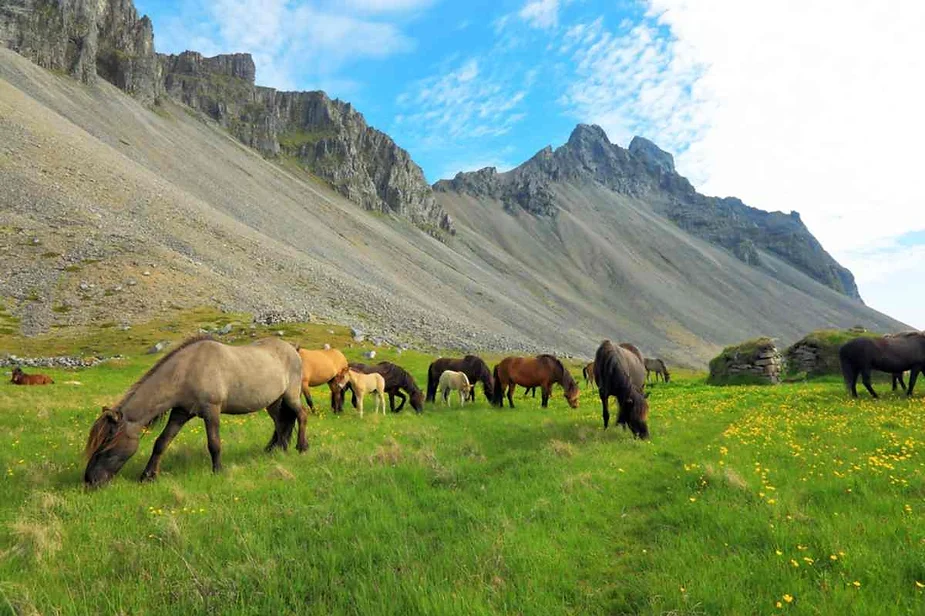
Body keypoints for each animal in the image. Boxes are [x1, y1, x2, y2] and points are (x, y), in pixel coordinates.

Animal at [84, 334, 304, 488]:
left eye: (105, 446)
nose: (89, 481)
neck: (188, 370)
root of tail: (293, 349)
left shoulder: (211, 410)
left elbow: (214, 443)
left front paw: (218, 471)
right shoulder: (180, 413)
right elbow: (161, 443)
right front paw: (148, 476)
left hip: (291, 396)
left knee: (300, 415)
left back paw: (301, 447)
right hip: (273, 402)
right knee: (281, 423)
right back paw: (279, 449)